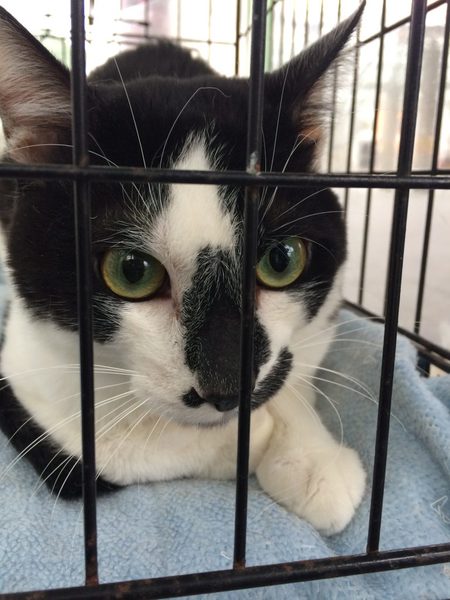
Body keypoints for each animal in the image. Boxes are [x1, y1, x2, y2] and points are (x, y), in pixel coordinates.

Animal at [0, 4, 365, 535]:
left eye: (281, 260)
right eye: (131, 271)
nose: (226, 388)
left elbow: (294, 372)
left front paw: (314, 458)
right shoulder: (27, 364)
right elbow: (111, 451)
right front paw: (248, 442)